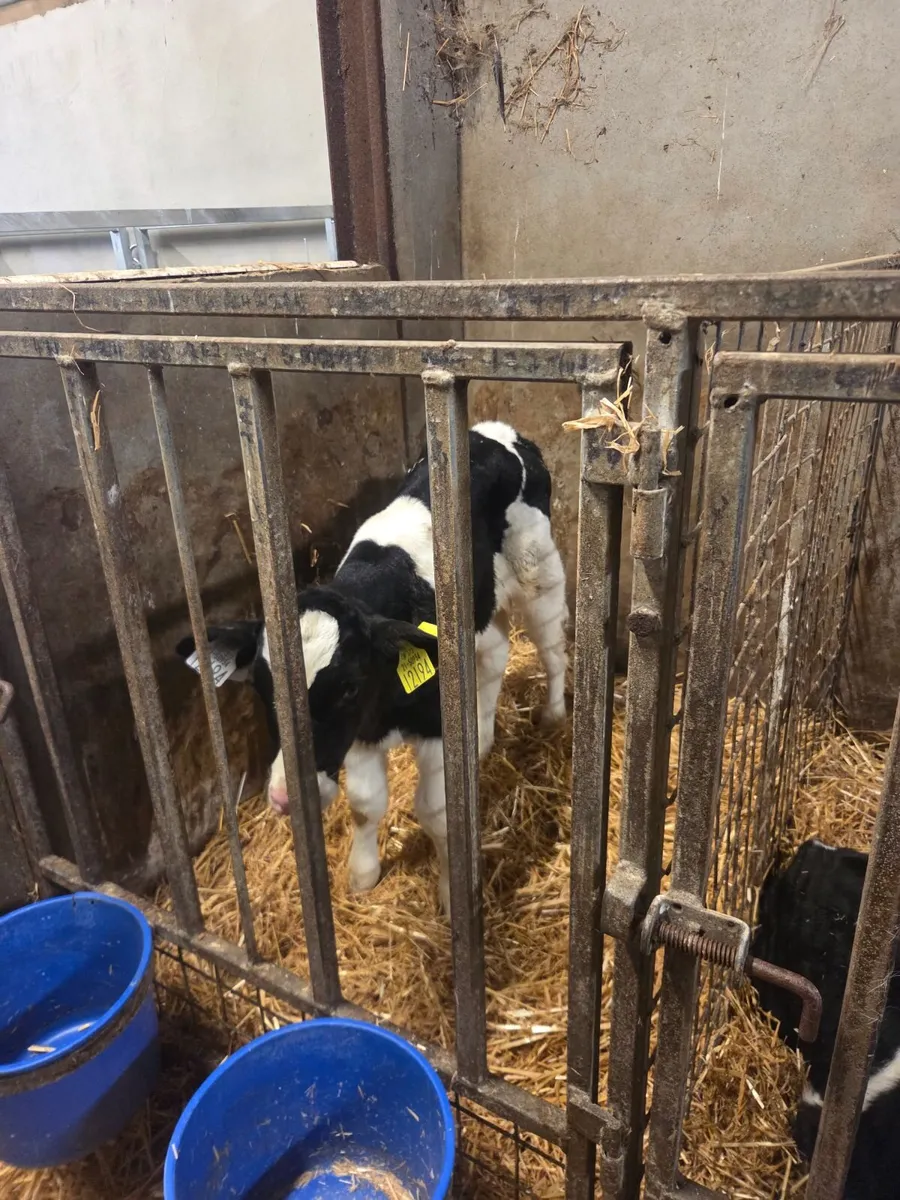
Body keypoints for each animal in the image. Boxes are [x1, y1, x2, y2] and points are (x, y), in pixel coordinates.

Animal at [176, 421, 568, 912]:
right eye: (265, 689)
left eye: (348, 687)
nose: (286, 798)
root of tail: (495, 431)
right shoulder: (359, 735)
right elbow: (365, 804)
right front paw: (363, 874)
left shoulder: (432, 725)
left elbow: (436, 812)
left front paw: (451, 891)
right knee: (496, 653)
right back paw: (480, 740)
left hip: (539, 571)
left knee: (552, 644)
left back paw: (555, 713)